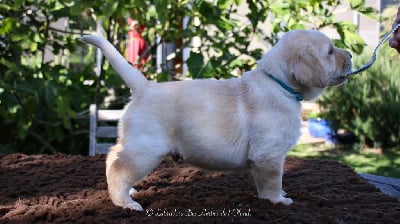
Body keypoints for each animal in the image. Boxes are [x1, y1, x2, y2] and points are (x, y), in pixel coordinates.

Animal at [82, 30, 354, 212]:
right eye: (330, 51)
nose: (351, 54)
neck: (279, 83)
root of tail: (144, 87)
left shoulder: (264, 157)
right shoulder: (269, 154)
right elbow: (272, 180)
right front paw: (277, 200)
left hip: (134, 142)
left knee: (112, 156)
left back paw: (129, 190)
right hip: (146, 149)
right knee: (118, 169)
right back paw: (126, 202)